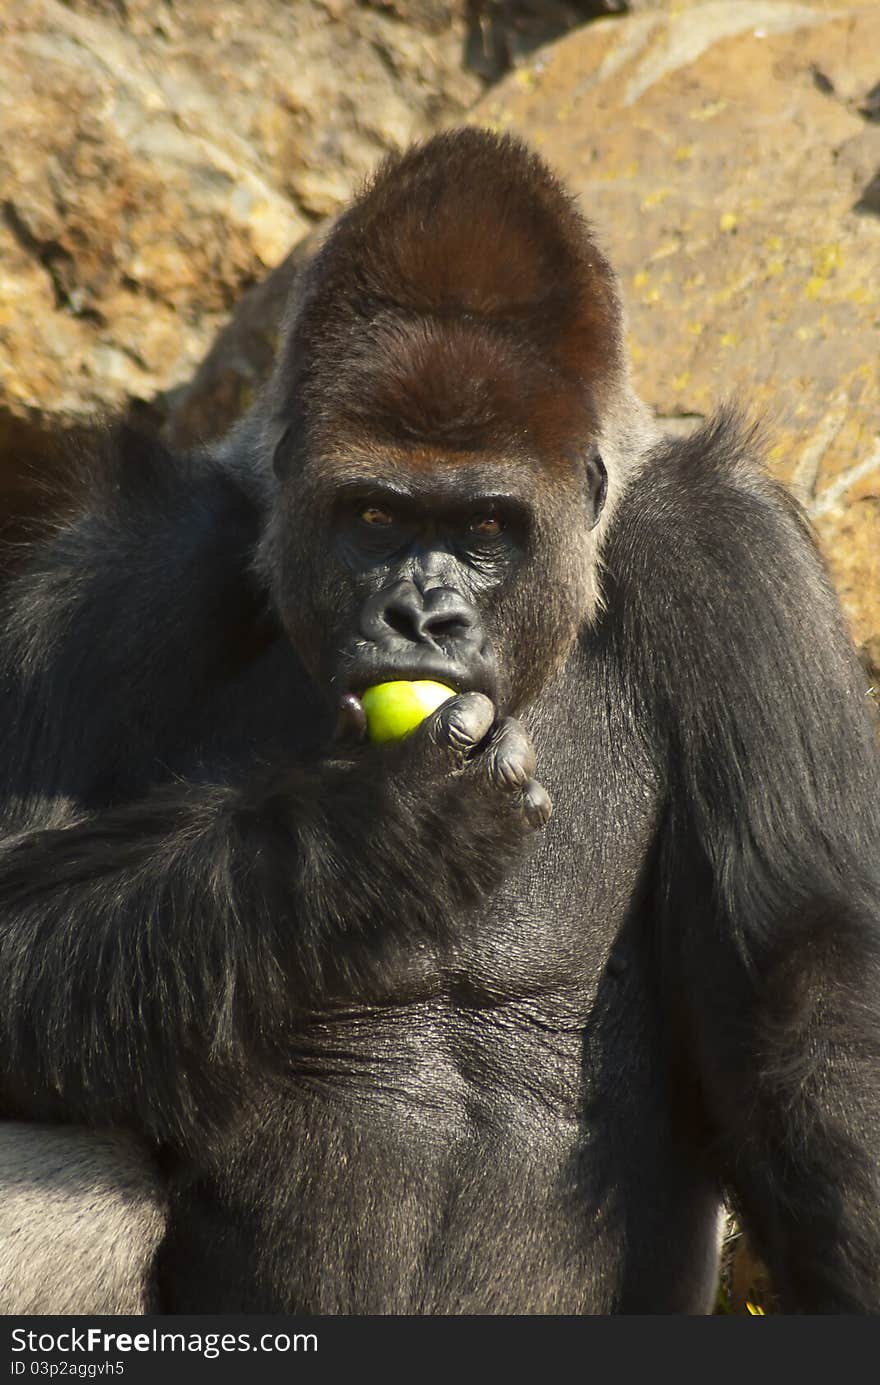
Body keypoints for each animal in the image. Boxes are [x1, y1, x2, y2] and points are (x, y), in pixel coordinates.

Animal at [1, 127, 880, 1307]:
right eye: (374, 516)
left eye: (484, 528)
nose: (421, 615)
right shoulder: (120, 570)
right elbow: (14, 913)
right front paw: (370, 833)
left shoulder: (738, 557)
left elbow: (813, 976)